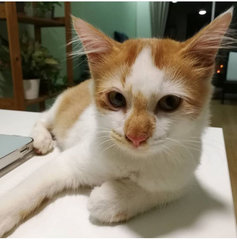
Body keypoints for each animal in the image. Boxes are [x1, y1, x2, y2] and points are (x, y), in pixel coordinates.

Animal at [0, 7, 234, 236]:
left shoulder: (181, 179)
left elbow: (157, 191)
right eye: (116, 99)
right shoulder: (68, 161)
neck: (133, 159)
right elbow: (30, 187)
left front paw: (110, 198)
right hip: (60, 106)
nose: (135, 137)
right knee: (42, 119)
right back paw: (41, 139)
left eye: (170, 102)